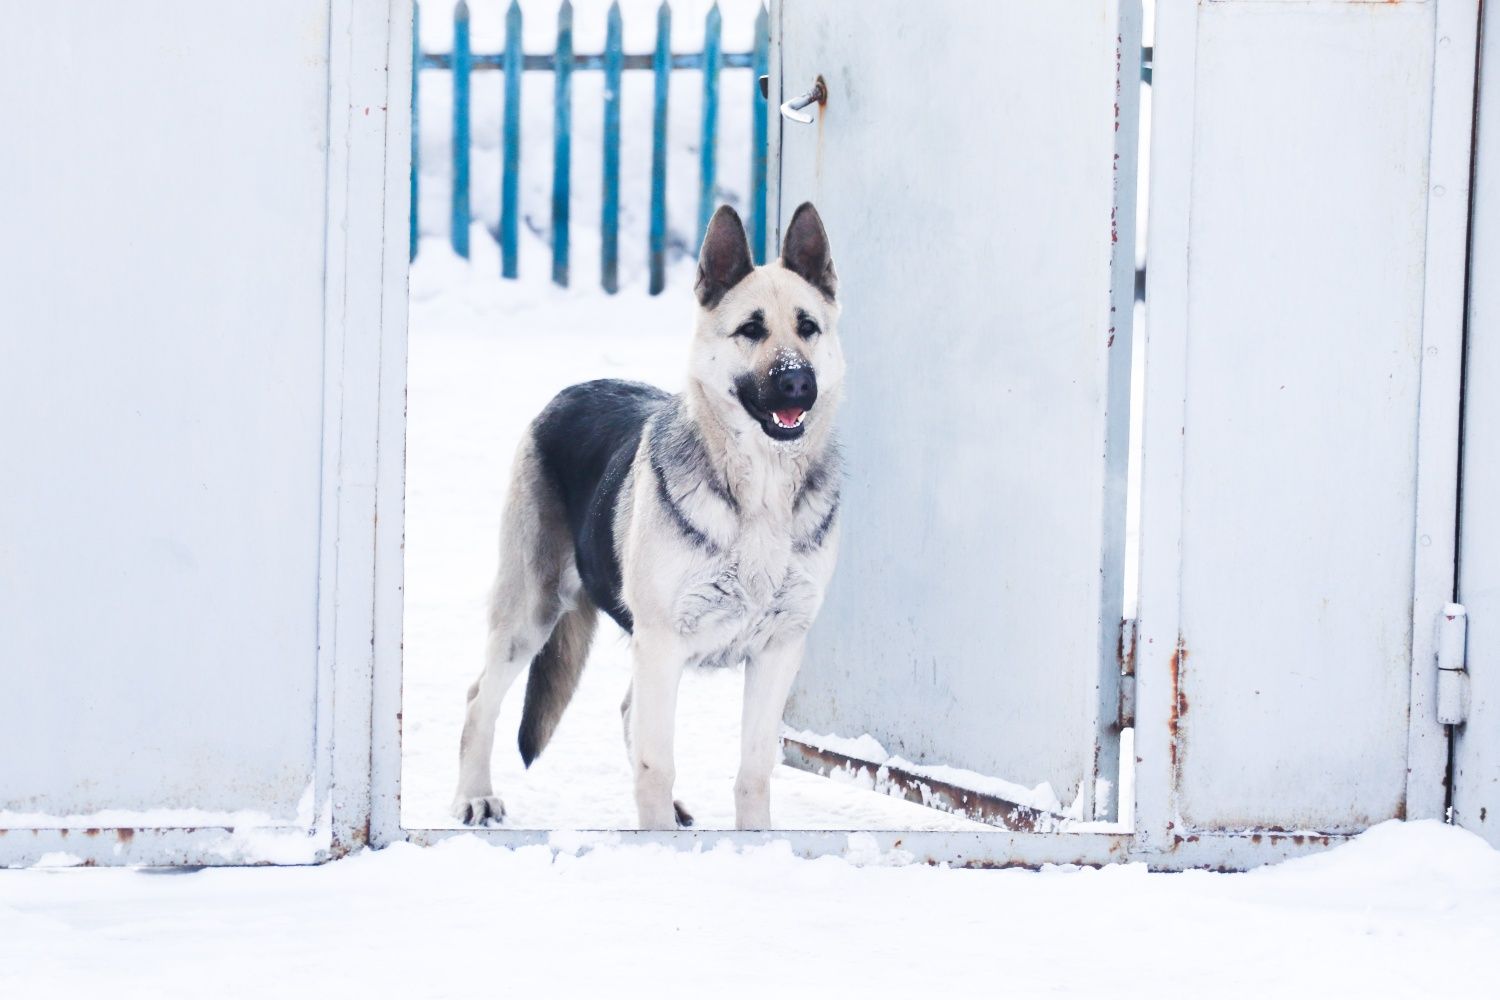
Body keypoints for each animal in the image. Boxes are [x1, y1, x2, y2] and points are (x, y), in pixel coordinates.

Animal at [444, 200, 846, 827]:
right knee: (479, 698)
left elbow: (754, 770)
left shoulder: (777, 651)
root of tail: (575, 388)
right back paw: (474, 794)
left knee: (628, 710)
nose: (797, 383)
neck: (760, 495)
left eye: (808, 327)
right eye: (751, 329)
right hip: (531, 614)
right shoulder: (662, 644)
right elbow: (657, 764)